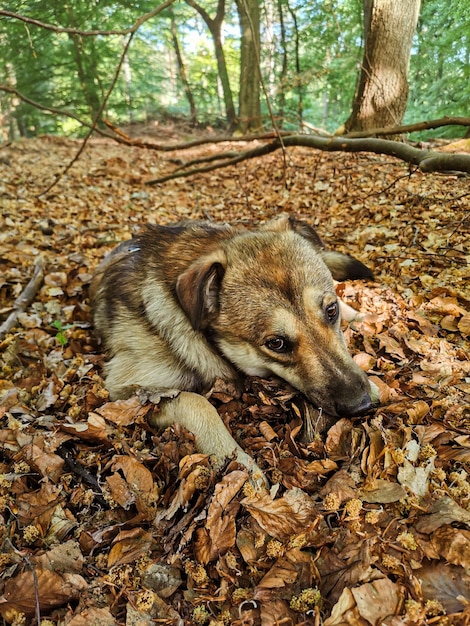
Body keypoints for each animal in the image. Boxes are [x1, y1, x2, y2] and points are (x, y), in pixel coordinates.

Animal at [91, 214, 378, 472]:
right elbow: (199, 403)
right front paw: (241, 466)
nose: (361, 405)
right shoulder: (130, 391)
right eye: (276, 343)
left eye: (331, 311)